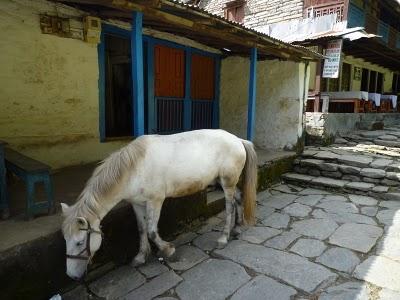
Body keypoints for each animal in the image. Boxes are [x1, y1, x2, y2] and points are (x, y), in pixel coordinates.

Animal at [60, 129, 256, 278]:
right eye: (66, 240)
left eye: (79, 242)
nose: (72, 276)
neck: (134, 169)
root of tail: (238, 140)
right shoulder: (137, 204)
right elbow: (141, 229)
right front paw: (140, 257)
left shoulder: (155, 201)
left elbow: (152, 231)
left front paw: (168, 250)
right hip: (225, 182)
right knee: (239, 198)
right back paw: (237, 228)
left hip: (227, 183)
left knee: (229, 207)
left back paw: (224, 237)